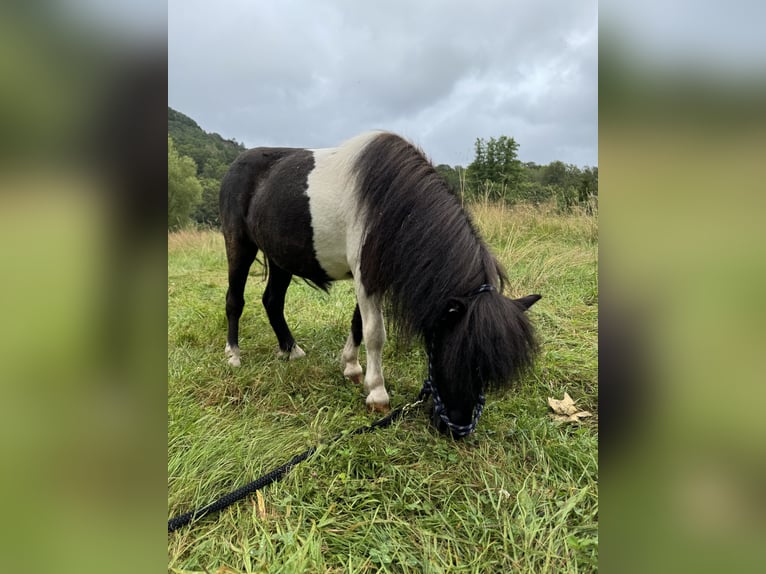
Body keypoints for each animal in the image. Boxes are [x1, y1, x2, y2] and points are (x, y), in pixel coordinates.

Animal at [219, 129, 540, 436]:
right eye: (458, 356)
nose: (455, 430)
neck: (390, 203)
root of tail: (235, 166)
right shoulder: (366, 278)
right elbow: (374, 333)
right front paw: (377, 394)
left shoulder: (372, 277)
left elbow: (357, 324)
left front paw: (351, 367)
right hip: (240, 244)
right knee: (235, 300)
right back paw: (233, 354)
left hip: (280, 258)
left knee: (272, 301)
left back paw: (290, 350)